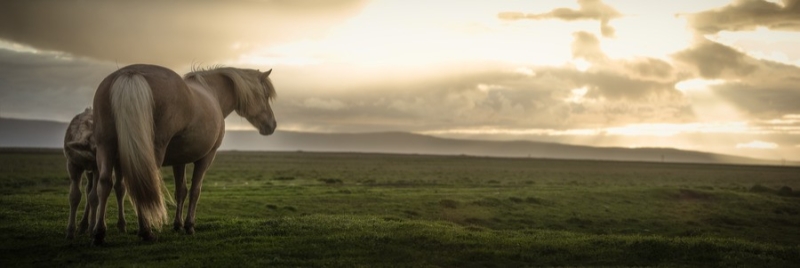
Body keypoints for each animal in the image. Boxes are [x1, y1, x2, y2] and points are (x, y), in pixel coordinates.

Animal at [63, 108, 125, 239]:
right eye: (96, 147)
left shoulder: (97, 168)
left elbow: (94, 197)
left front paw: (92, 228)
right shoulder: (73, 165)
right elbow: (75, 196)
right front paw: (70, 231)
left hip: (117, 162)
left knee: (119, 187)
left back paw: (121, 225)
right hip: (91, 170)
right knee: (90, 188)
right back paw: (84, 224)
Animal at [90, 63, 276, 244]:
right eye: (265, 95)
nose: (272, 125)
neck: (212, 93)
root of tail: (130, 74)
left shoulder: (179, 160)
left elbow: (181, 190)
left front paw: (177, 224)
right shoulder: (206, 158)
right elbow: (195, 190)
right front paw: (189, 225)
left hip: (106, 146)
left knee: (105, 183)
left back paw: (100, 232)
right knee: (143, 183)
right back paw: (146, 232)